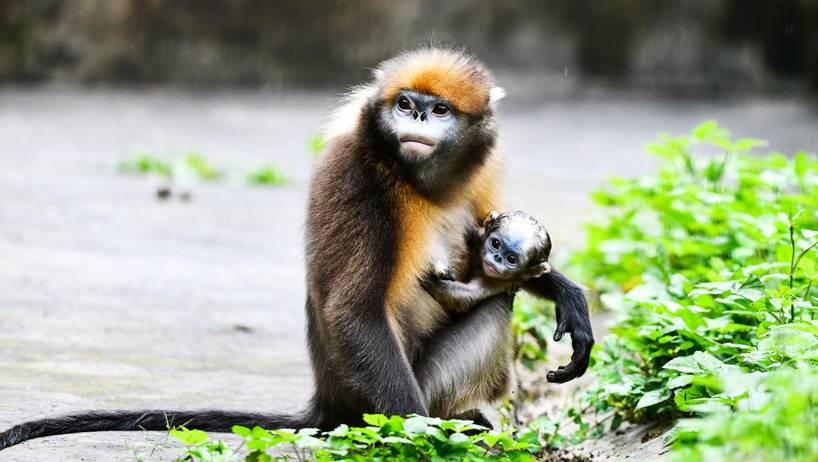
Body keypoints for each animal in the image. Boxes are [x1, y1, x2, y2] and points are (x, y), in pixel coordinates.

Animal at [424, 210, 552, 314]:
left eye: (511, 259)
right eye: (495, 244)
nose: (497, 257)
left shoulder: (496, 282)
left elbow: (461, 296)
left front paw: (429, 279)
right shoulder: (478, 238)